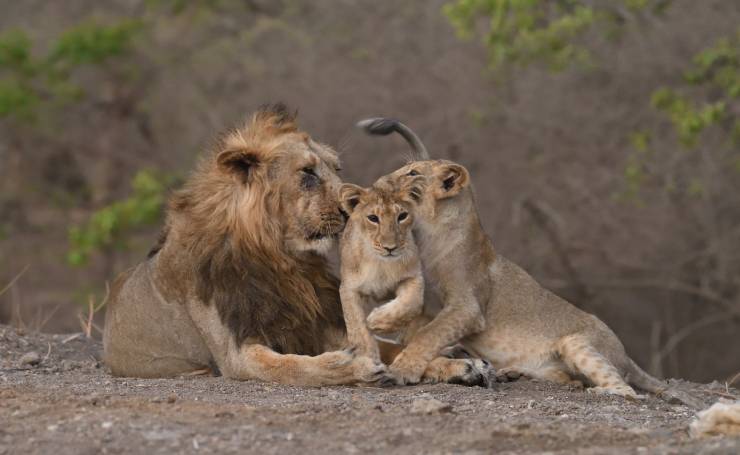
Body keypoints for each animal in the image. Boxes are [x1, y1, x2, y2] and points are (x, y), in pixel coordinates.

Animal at [104, 106, 388, 384]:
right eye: (308, 172)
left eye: (336, 169)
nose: (356, 207)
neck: (283, 259)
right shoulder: (236, 353)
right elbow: (292, 366)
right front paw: (355, 365)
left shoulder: (316, 320)